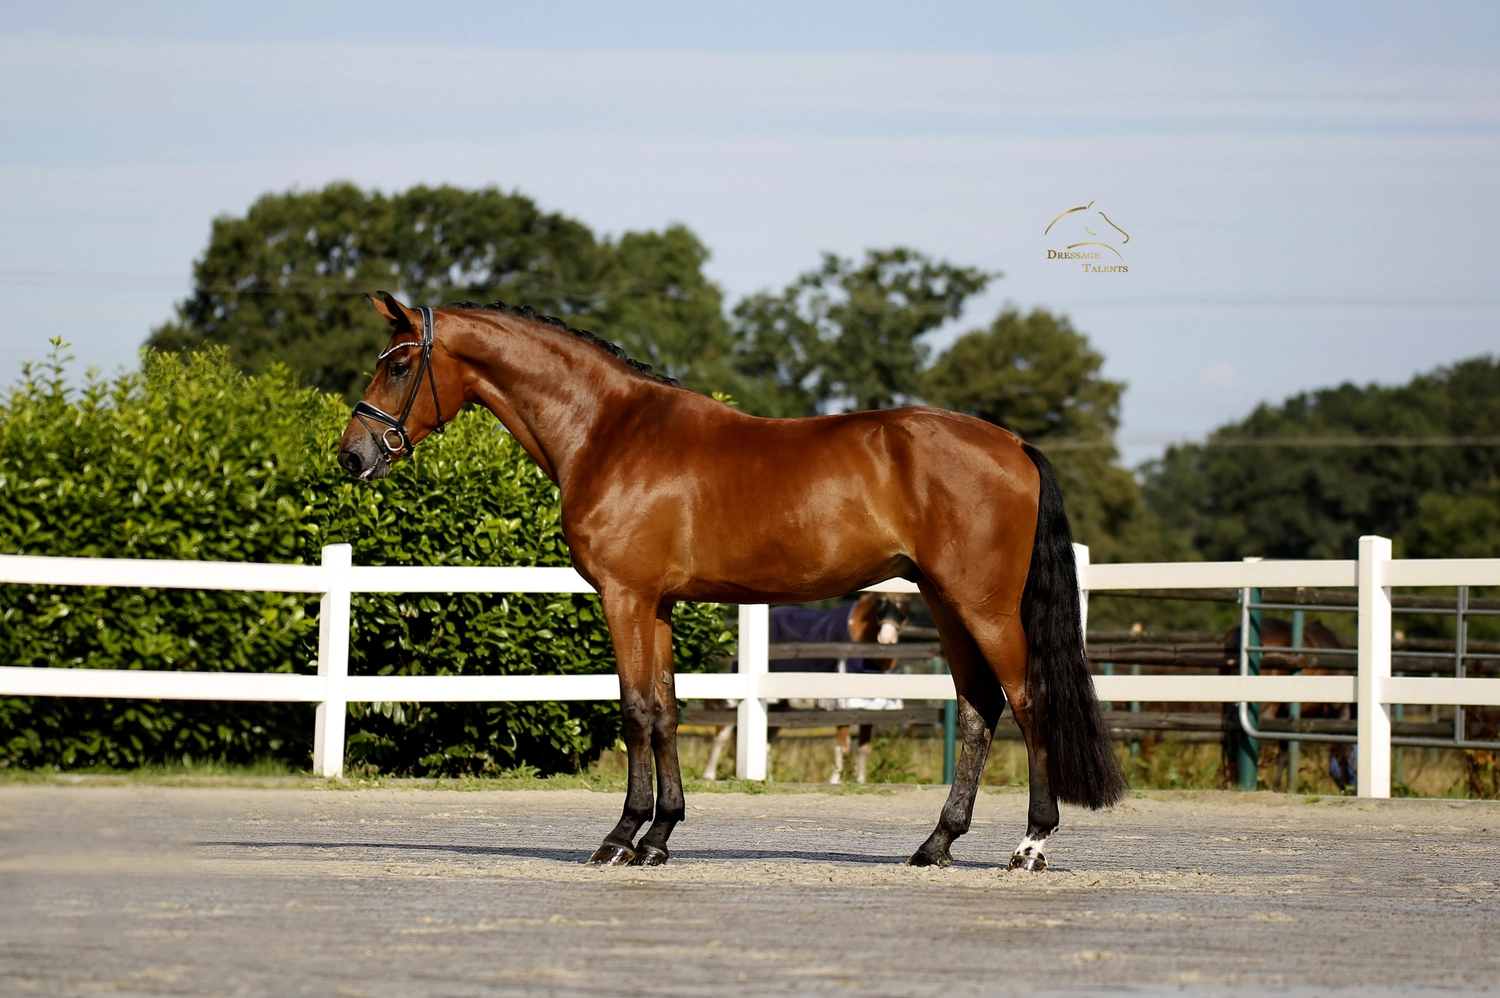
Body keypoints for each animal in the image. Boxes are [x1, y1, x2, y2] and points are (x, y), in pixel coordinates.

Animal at [699, 592, 911, 784]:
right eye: (880, 600)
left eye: (905, 601)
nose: (887, 638)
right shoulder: (843, 707)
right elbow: (842, 747)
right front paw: (835, 781)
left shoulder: (870, 709)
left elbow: (863, 748)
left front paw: (860, 780)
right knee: (722, 733)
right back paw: (709, 775)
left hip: (778, 705)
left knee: (764, 742)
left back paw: (768, 777)